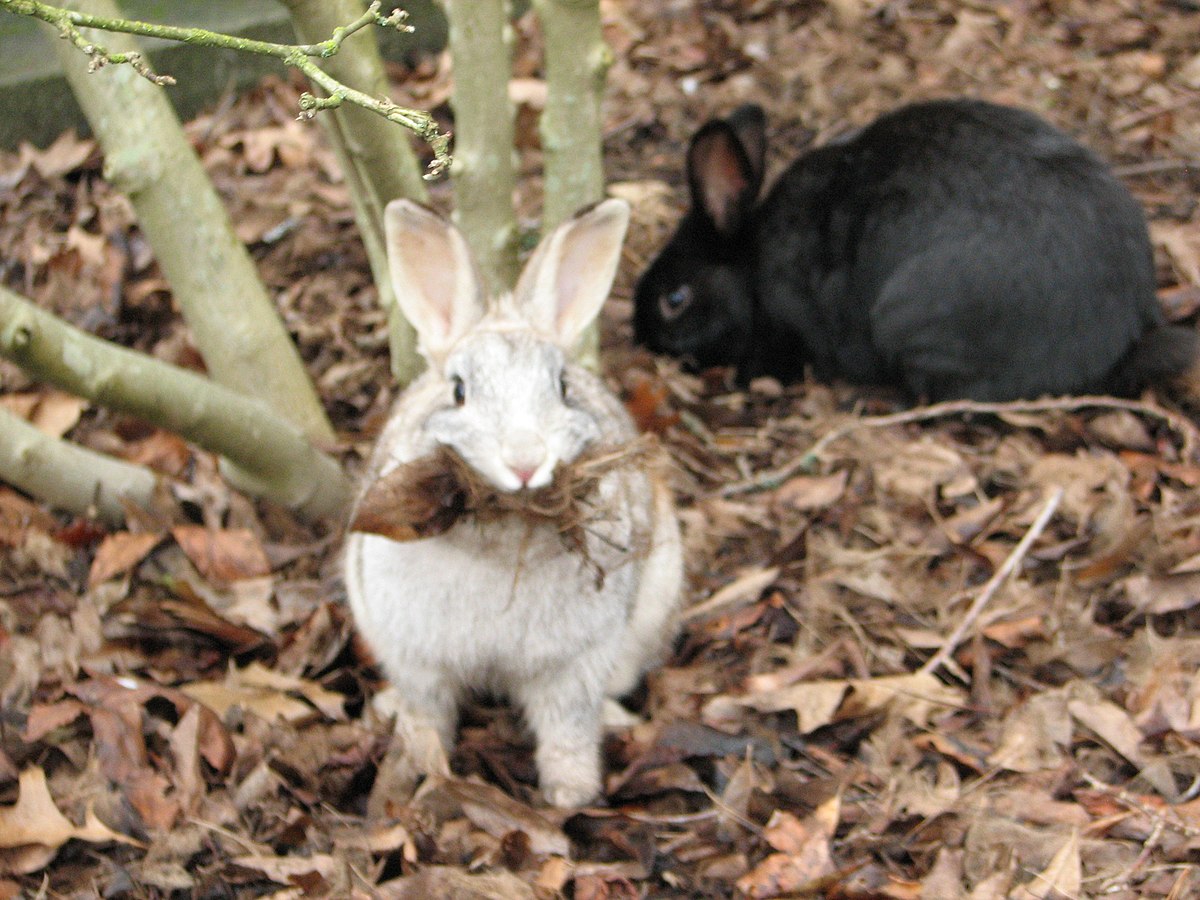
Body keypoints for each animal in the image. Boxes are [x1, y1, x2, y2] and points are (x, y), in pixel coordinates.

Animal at [348, 199, 686, 811]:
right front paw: (419, 762)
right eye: (458, 391)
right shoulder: (417, 657)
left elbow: (567, 727)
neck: (504, 540)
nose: (526, 460)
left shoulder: (575, 664)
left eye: (563, 387)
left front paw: (569, 794)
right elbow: (429, 712)